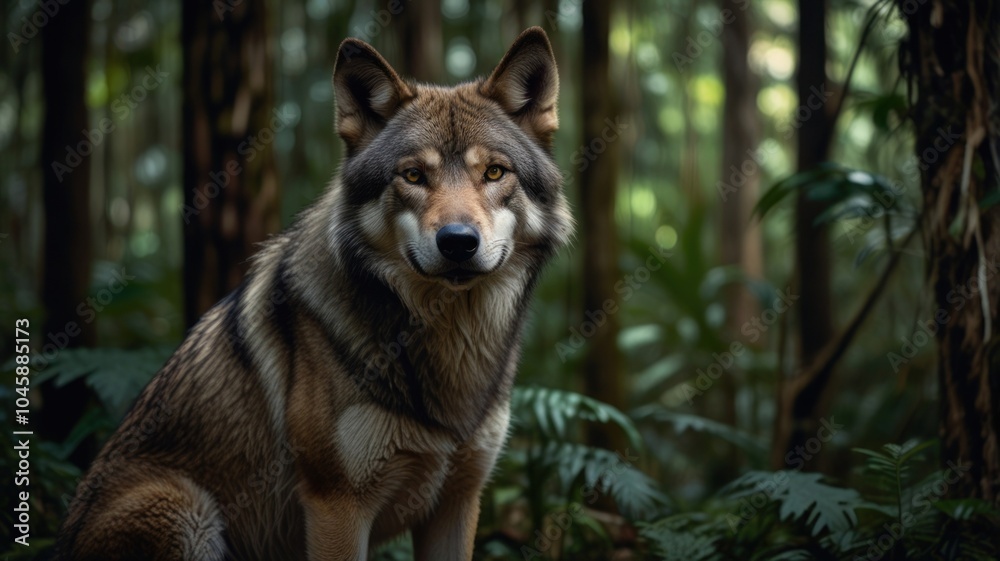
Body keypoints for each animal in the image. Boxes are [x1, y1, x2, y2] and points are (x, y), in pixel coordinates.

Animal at [54, 26, 571, 561]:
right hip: (185, 509)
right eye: (413, 176)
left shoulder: (458, 501)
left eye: (494, 173)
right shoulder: (336, 506)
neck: (447, 348)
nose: (457, 242)